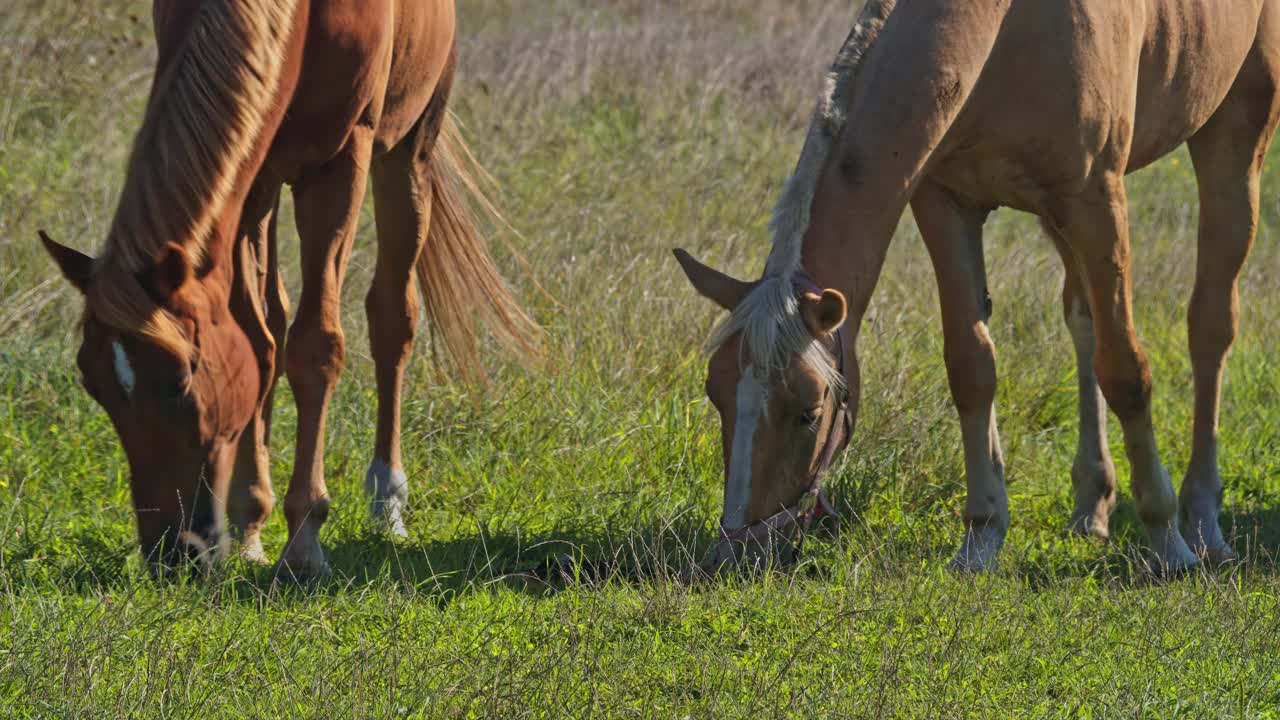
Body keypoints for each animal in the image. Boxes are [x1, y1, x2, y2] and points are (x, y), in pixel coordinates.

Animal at [41, 0, 540, 571]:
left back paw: (387, 503)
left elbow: (316, 347)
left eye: (180, 382)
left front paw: (304, 542)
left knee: (392, 318)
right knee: (274, 321)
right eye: (92, 384)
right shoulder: (251, 171)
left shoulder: (339, 163)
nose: (172, 553)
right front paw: (252, 522)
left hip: (408, 149)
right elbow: (258, 344)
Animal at [675, 0, 1274, 571]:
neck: (1008, 31)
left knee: (1210, 326)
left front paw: (1166, 539)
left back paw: (1203, 522)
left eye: (809, 412)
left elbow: (1126, 372)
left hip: (1234, 137)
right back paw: (1092, 505)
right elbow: (972, 367)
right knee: (1082, 320)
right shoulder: (945, 203)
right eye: (715, 393)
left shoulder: (1096, 202)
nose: (736, 552)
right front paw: (982, 534)